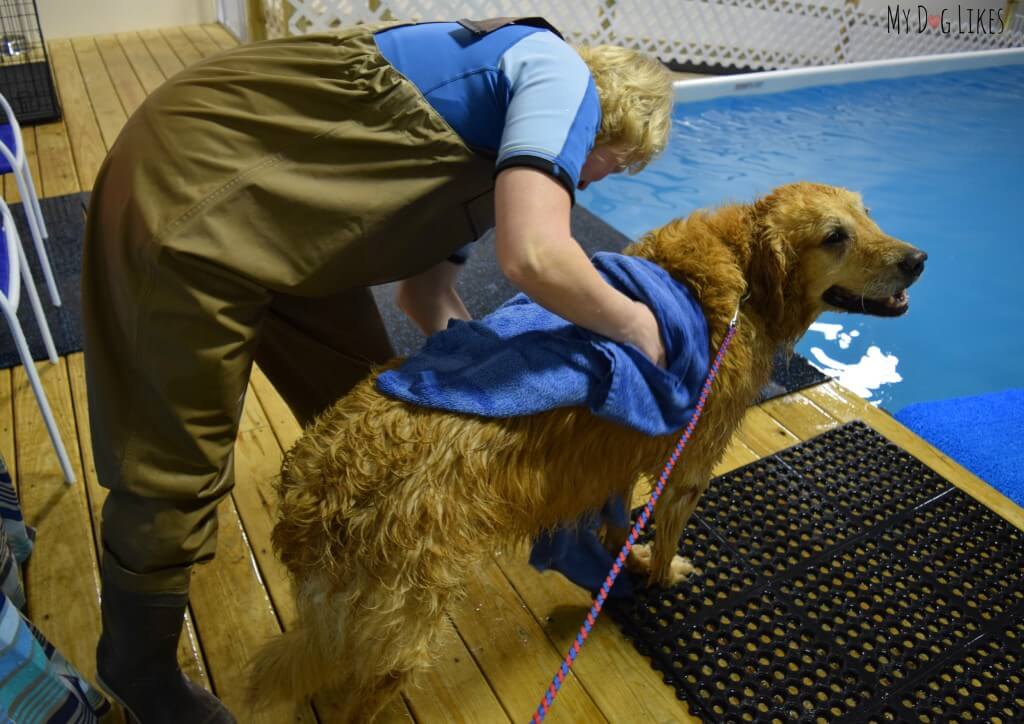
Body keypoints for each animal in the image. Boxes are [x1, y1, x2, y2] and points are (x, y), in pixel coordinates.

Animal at [247, 182, 929, 720]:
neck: (745, 280)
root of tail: (310, 504)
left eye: (868, 214)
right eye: (834, 237)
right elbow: (668, 535)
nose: (918, 259)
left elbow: (619, 514)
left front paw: (622, 553)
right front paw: (661, 574)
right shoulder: (690, 465)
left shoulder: (619, 451)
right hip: (405, 629)